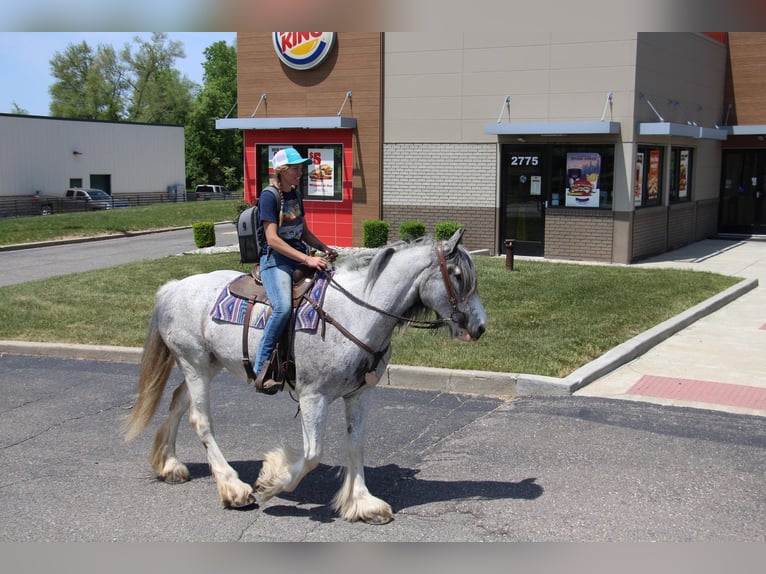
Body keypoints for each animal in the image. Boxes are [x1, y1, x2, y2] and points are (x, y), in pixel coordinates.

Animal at [123, 230, 488, 528]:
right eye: (458, 276)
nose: (480, 326)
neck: (355, 313)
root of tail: (174, 287)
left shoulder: (359, 394)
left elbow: (356, 444)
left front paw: (361, 503)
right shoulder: (314, 396)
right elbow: (312, 454)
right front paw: (271, 481)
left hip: (207, 365)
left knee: (177, 403)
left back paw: (170, 465)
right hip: (195, 363)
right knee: (200, 420)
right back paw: (234, 488)